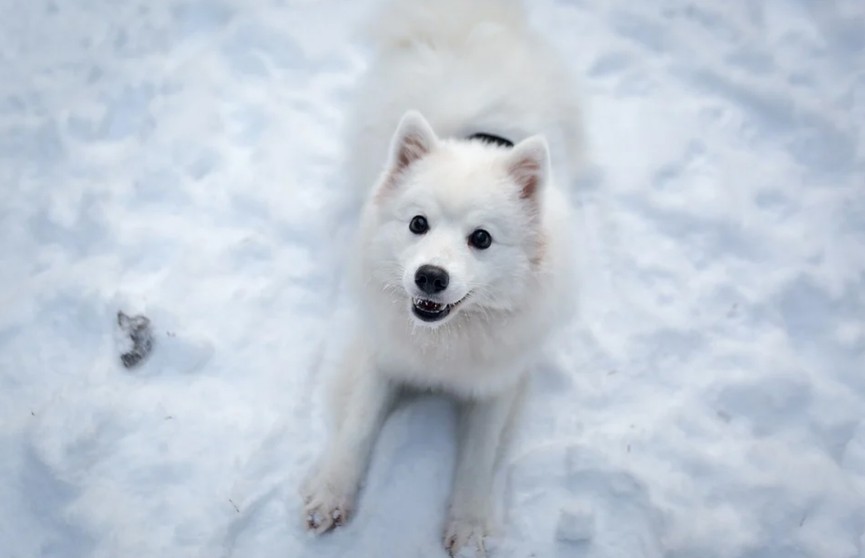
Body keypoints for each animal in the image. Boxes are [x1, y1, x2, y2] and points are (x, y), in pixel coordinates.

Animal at [302, 0, 580, 556]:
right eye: (417, 224)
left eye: (482, 238)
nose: (430, 277)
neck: (443, 341)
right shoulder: (381, 355)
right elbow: (357, 425)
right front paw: (331, 493)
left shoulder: (497, 383)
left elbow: (478, 456)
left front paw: (469, 526)